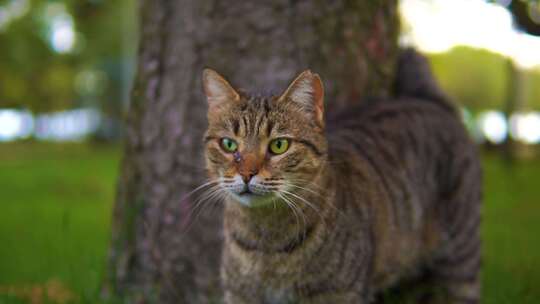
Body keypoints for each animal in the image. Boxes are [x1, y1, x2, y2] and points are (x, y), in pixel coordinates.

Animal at [200, 48, 478, 302]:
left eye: (279, 145)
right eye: (228, 144)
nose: (247, 173)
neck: (266, 242)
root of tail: (428, 101)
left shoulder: (341, 294)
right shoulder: (239, 295)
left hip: (461, 263)